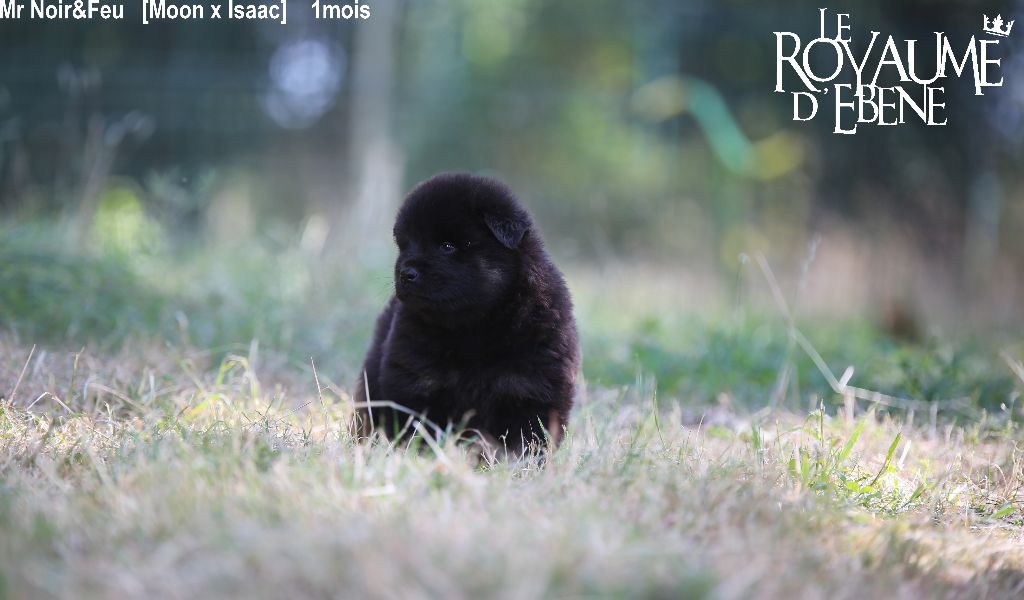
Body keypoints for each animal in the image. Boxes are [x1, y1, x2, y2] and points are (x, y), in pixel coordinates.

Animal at [354, 173, 579, 455]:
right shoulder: (417, 381)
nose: (406, 273)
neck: (476, 326)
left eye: (447, 246)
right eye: (404, 245)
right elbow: (418, 430)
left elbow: (528, 439)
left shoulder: (532, 386)